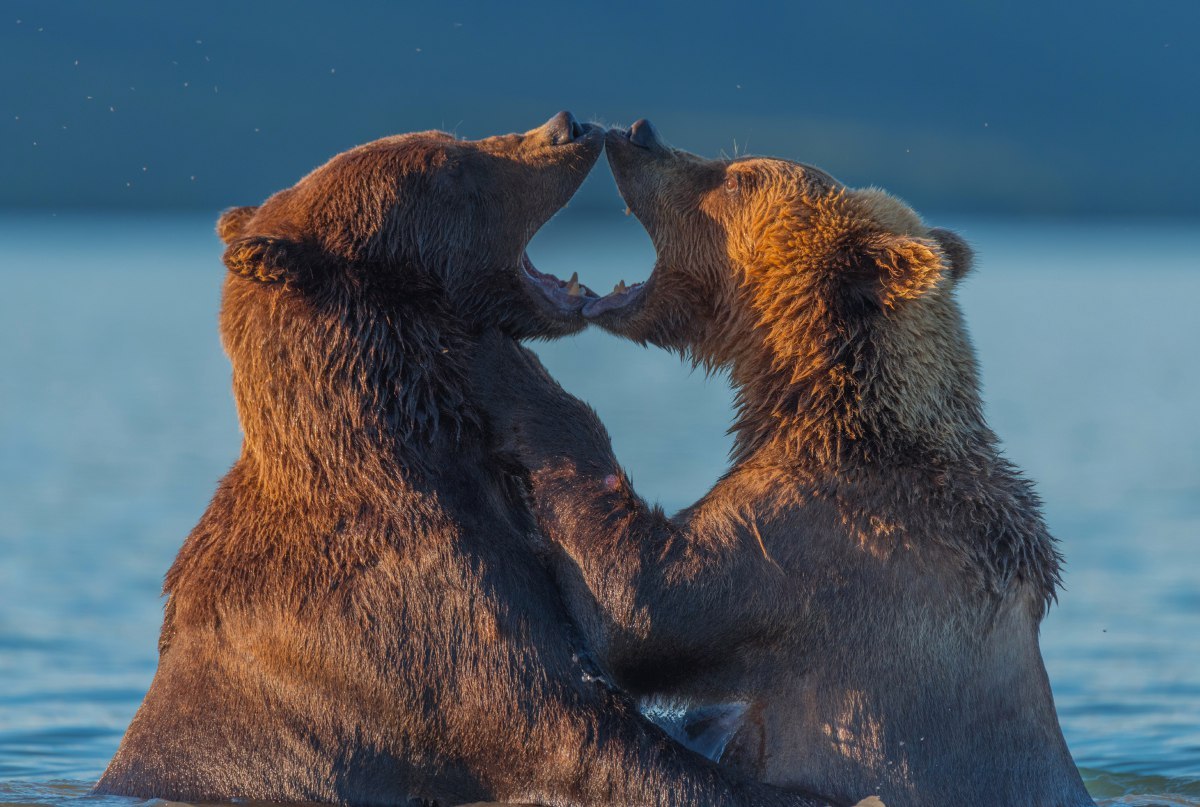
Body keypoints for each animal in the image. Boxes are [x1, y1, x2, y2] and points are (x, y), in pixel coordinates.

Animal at [96, 113, 835, 806]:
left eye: (452, 140)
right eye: (450, 168)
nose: (569, 125)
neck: (417, 442)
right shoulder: (408, 625)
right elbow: (576, 732)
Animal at [470, 123, 1099, 806]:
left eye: (741, 177)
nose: (637, 133)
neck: (823, 404)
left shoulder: (820, 542)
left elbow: (642, 602)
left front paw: (519, 375)